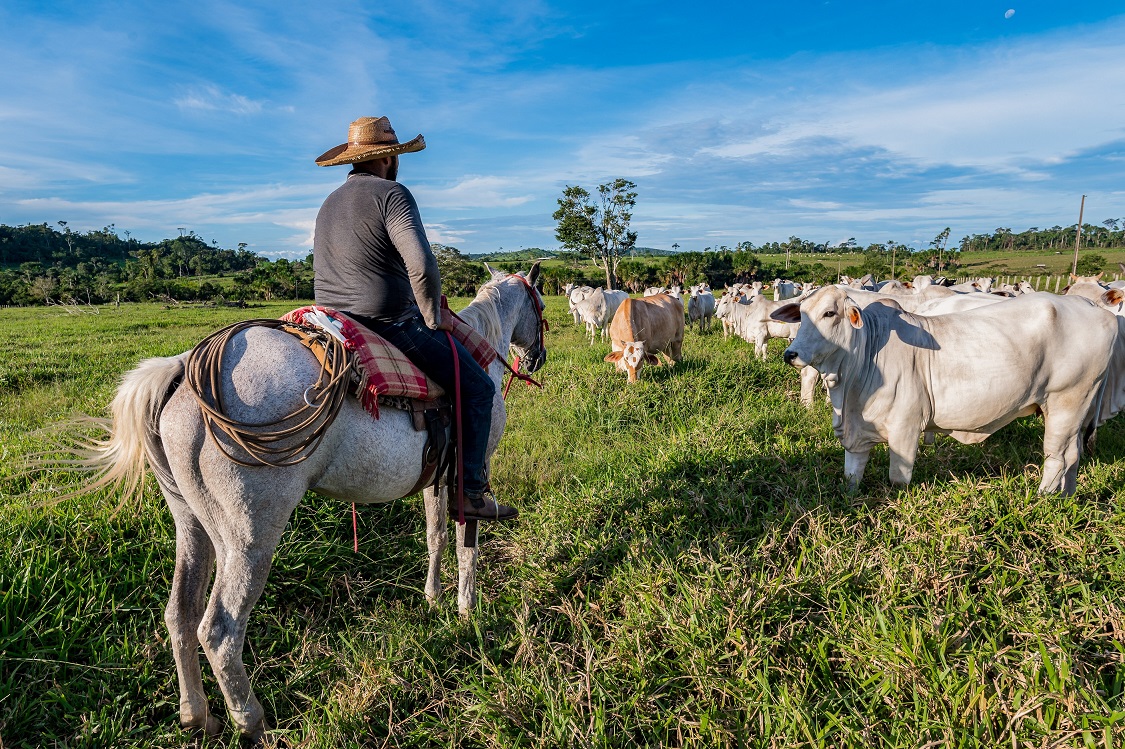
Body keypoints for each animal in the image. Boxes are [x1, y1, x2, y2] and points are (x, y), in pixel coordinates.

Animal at [82, 260, 544, 733]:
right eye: (541, 305)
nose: (536, 358)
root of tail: (183, 369)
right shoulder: (471, 470)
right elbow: (467, 542)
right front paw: (468, 608)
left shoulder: (438, 476)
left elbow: (435, 537)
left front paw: (434, 598)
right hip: (249, 540)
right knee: (219, 631)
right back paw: (251, 722)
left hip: (190, 524)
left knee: (180, 613)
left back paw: (197, 715)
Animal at [774, 287, 1116, 492]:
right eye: (800, 314)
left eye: (829, 313)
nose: (790, 354)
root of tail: (1095, 309)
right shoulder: (856, 433)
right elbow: (851, 475)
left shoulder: (906, 428)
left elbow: (898, 479)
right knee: (1073, 455)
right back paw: (1066, 496)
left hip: (1066, 402)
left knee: (1057, 457)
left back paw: (1043, 498)